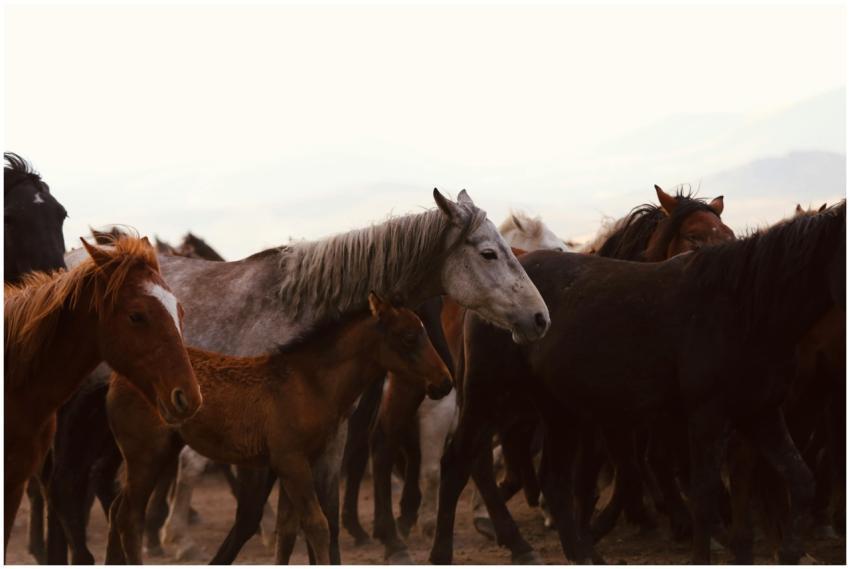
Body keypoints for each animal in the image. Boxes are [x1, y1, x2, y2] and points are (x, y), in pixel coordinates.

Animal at [104, 293, 452, 564]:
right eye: (409, 337)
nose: (445, 382)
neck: (309, 383)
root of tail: (121, 376)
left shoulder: (291, 463)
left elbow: (287, 531)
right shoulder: (291, 461)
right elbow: (317, 525)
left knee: (117, 510)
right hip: (146, 455)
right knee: (128, 517)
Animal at [429, 202, 845, 565]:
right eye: (693, 235)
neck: (744, 305)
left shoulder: (761, 412)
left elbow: (800, 479)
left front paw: (789, 551)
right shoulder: (705, 417)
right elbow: (704, 495)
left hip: (557, 410)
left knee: (554, 480)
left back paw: (582, 553)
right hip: (489, 395)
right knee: (460, 461)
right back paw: (455, 552)